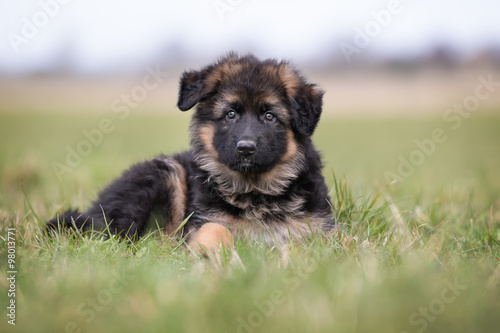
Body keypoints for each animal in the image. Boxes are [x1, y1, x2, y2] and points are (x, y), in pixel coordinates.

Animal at [47, 52, 334, 249]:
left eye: (270, 116)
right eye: (230, 114)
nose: (245, 148)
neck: (254, 190)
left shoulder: (318, 229)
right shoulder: (202, 221)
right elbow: (216, 231)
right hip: (164, 174)